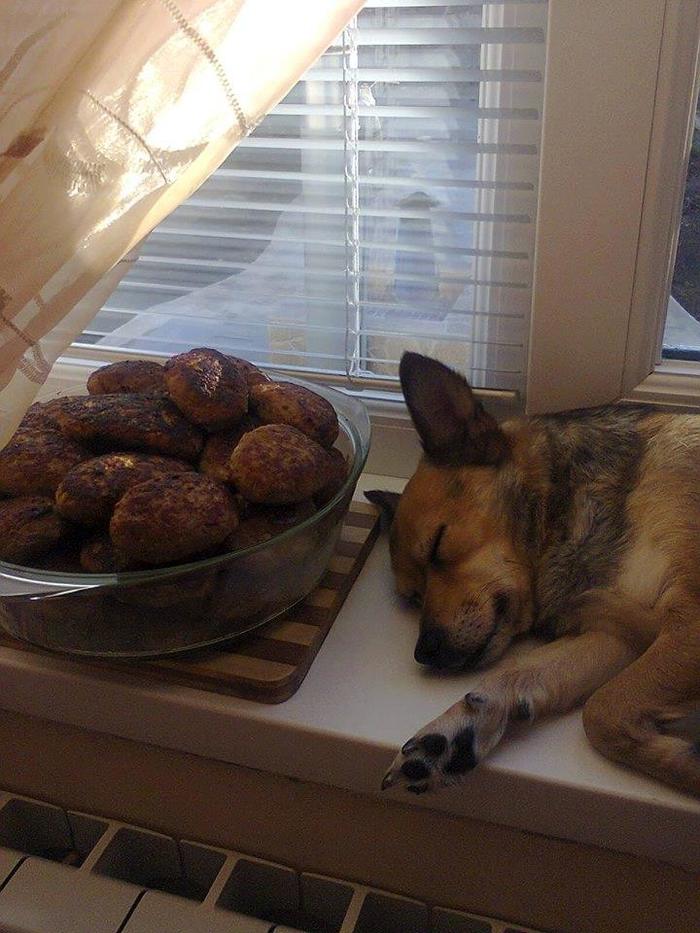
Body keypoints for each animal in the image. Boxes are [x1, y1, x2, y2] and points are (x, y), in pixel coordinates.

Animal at [366, 354, 700, 796]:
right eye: (413, 597)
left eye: (439, 543)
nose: (426, 652)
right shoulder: (617, 635)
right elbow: (530, 677)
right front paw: (455, 734)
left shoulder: (689, 618)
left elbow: (603, 710)